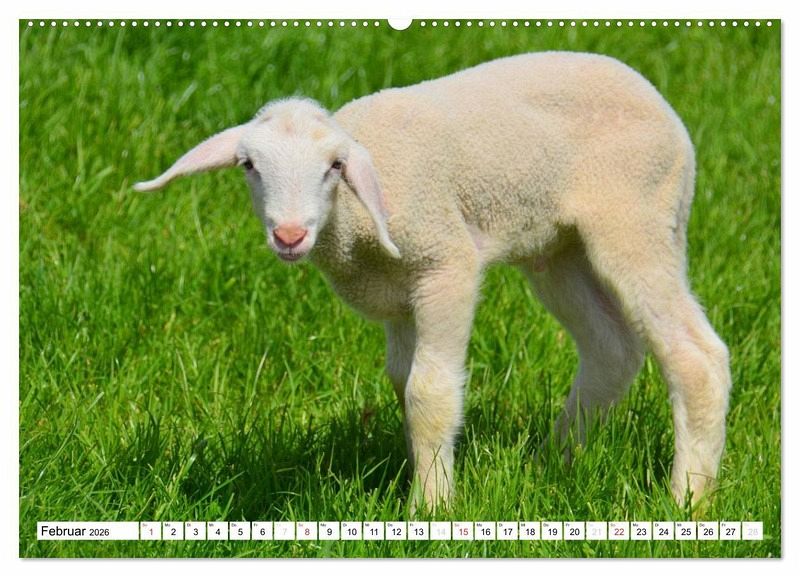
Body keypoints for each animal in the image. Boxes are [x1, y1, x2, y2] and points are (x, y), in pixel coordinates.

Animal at [135, 51, 731, 512]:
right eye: (249, 166)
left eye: (334, 167)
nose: (288, 234)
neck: (354, 223)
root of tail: (663, 107)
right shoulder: (399, 294)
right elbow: (402, 383)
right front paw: (427, 477)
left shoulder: (445, 264)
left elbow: (430, 390)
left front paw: (431, 507)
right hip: (559, 249)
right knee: (611, 349)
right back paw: (552, 464)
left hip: (637, 217)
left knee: (695, 355)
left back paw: (687, 499)